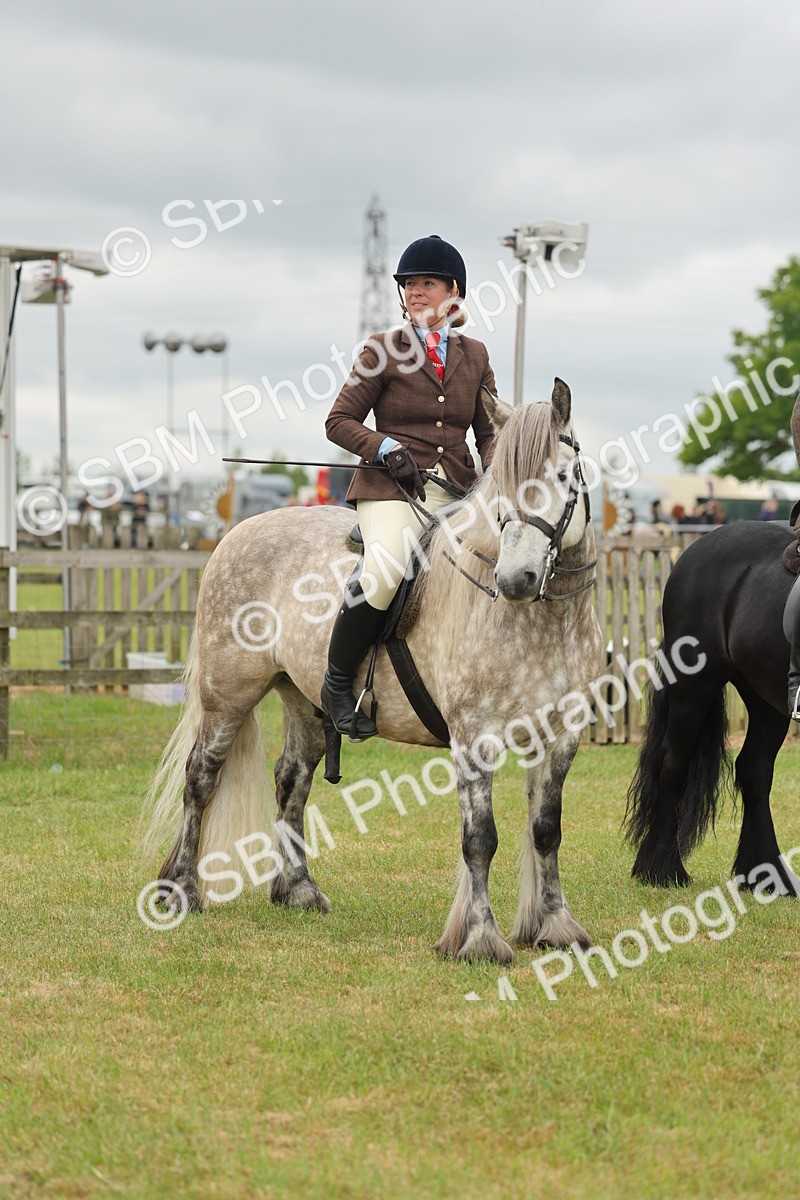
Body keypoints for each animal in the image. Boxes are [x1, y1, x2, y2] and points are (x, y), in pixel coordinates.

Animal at [141, 379, 605, 964]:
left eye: (564, 478)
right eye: (501, 486)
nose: (514, 579)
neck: (542, 621)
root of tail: (236, 532)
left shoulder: (562, 735)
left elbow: (546, 831)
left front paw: (557, 927)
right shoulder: (475, 736)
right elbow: (480, 839)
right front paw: (478, 938)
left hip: (305, 700)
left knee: (291, 780)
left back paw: (298, 890)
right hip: (229, 695)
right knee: (201, 779)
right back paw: (181, 889)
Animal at [625, 519, 800, 895]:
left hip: (766, 701)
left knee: (754, 771)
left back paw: (766, 876)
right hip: (694, 689)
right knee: (672, 764)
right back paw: (663, 870)